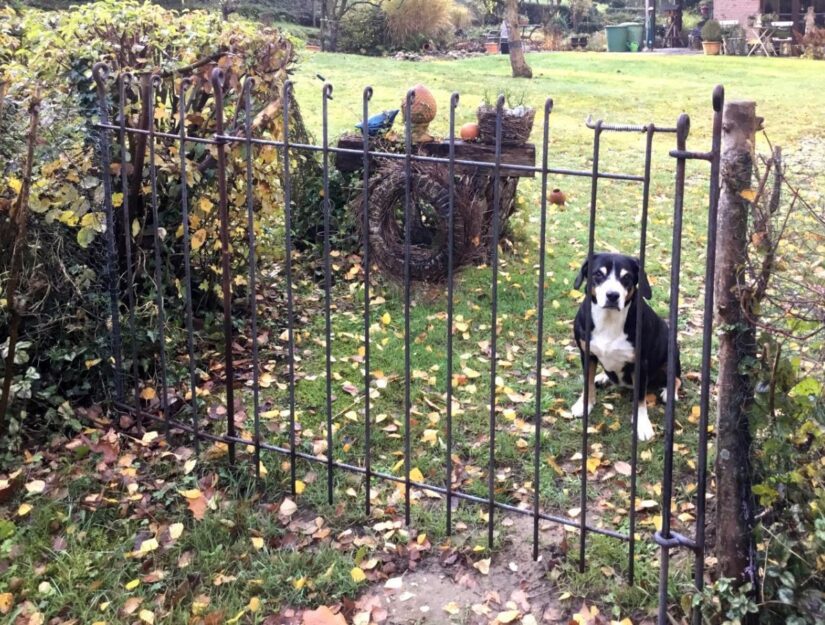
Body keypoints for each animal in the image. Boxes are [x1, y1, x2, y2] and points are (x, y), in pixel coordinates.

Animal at [568, 252, 680, 438]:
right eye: (598, 274)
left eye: (626, 277)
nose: (612, 295)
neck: (609, 320)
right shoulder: (586, 354)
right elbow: (587, 382)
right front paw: (584, 404)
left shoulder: (640, 363)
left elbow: (640, 398)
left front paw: (642, 424)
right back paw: (603, 377)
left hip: (672, 354)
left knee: (676, 379)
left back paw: (668, 392)